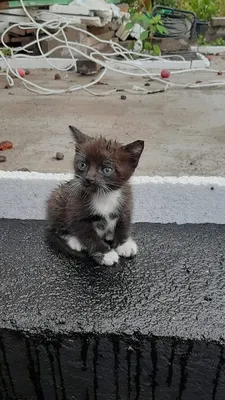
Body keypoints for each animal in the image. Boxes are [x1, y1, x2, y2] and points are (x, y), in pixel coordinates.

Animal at [45, 126, 144, 268]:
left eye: (107, 169)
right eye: (82, 165)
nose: (88, 179)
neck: (104, 195)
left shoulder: (126, 203)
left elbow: (123, 223)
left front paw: (123, 244)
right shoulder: (77, 210)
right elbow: (89, 236)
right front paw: (106, 254)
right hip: (57, 199)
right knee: (59, 228)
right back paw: (74, 240)